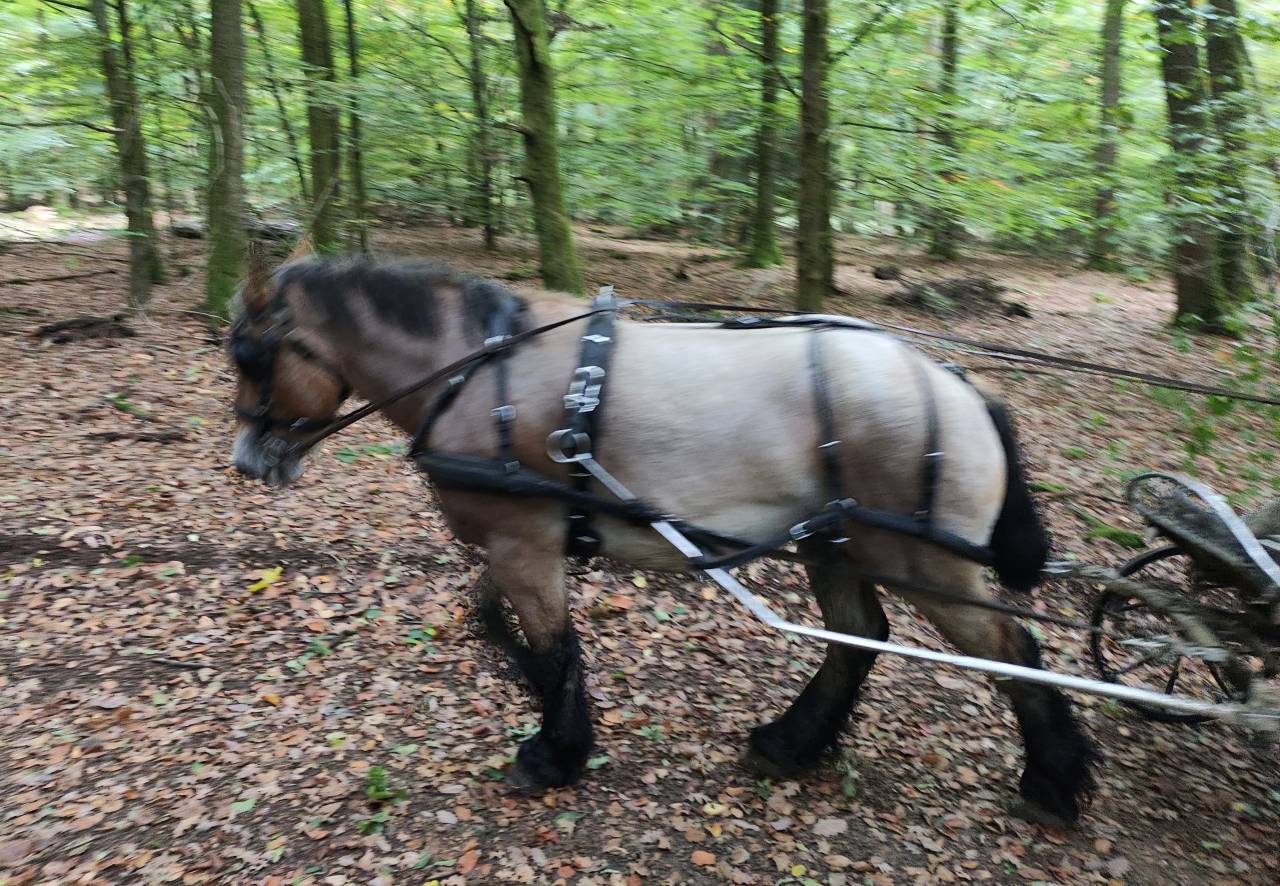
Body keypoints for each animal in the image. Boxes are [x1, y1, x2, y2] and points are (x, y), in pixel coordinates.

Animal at [226, 246, 1097, 827]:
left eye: (253, 355)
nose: (246, 461)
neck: (478, 374)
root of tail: (958, 386)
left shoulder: (521, 544)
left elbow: (552, 647)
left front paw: (555, 751)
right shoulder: (511, 543)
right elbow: (495, 626)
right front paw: (550, 718)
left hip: (925, 561)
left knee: (1011, 651)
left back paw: (1054, 782)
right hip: (834, 544)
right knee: (858, 639)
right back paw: (791, 744)